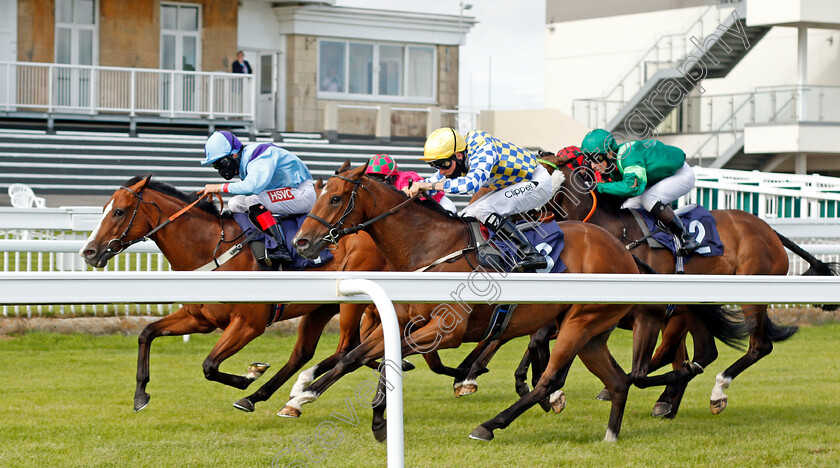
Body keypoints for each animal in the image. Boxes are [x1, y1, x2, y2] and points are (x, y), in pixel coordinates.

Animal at [78, 174, 388, 412]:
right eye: (104, 208)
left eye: (118, 212)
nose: (88, 252)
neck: (210, 248)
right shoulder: (199, 320)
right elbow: (147, 333)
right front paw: (140, 394)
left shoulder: (249, 324)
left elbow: (209, 365)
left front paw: (249, 374)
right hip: (320, 307)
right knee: (305, 353)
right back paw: (270, 395)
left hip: (349, 303)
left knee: (346, 347)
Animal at [288, 164, 644, 442]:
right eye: (319, 195)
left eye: (335, 198)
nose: (301, 242)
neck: (429, 247)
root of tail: (623, 252)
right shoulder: (403, 322)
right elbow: (356, 356)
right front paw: (310, 398)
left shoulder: (447, 331)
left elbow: (380, 357)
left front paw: (310, 395)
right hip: (592, 332)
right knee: (617, 381)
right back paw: (610, 436)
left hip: (580, 322)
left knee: (548, 380)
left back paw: (489, 425)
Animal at [536, 156, 836, 416]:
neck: (616, 235)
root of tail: (767, 229)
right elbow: (547, 340)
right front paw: (551, 393)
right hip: (695, 308)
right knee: (703, 351)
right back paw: (668, 398)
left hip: (749, 295)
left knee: (758, 347)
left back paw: (715, 391)